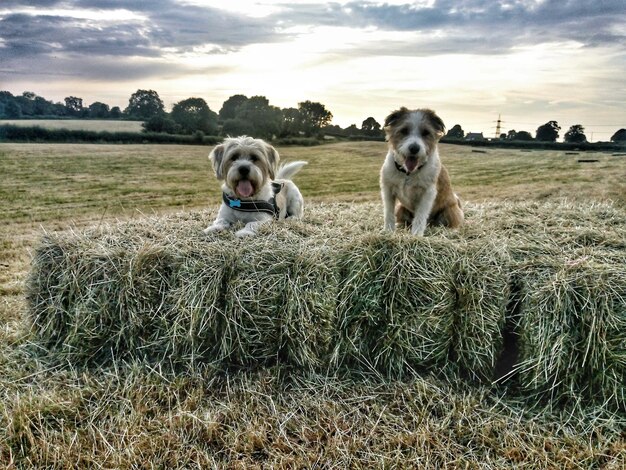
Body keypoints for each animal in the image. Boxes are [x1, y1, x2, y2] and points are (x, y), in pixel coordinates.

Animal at [378, 108, 460, 237]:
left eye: (426, 132)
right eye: (404, 130)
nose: (414, 148)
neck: (408, 173)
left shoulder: (427, 194)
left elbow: (420, 217)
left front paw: (416, 235)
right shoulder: (388, 190)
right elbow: (388, 213)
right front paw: (388, 231)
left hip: (449, 211)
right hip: (401, 208)